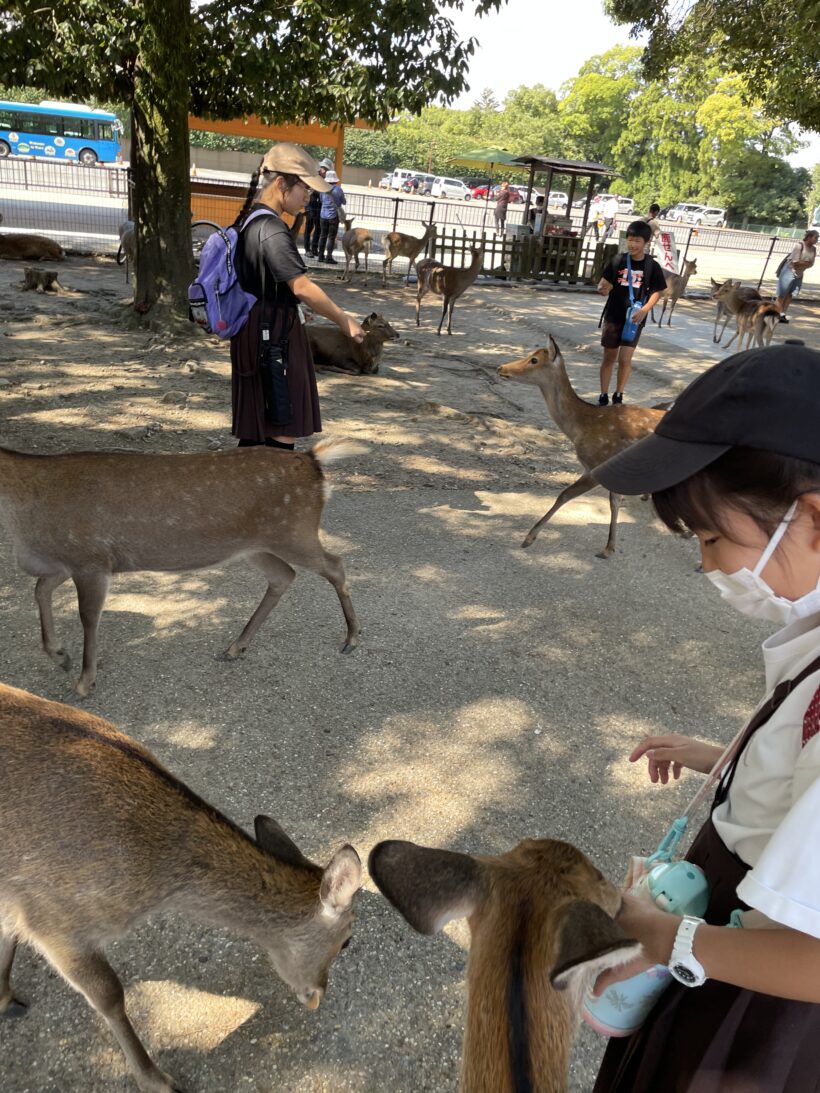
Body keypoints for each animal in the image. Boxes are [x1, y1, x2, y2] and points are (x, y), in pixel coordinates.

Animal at [0, 435, 362, 690]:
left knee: (335, 564)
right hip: (255, 546)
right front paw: (60, 656)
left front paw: (84, 680)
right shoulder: (63, 562)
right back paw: (235, 647)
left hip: (294, 532)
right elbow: (39, 590)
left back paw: (352, 639)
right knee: (284, 576)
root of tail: (314, 461)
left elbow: (88, 616)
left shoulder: (92, 558)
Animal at [0, 682, 360, 1093]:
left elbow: (7, 933)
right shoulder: (54, 921)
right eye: (347, 941)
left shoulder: (15, 897)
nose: (318, 995)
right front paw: (156, 1080)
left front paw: (3, 998)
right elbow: (110, 996)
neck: (155, 879)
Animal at [494, 336, 669, 559]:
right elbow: (614, 502)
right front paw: (609, 547)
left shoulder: (597, 465)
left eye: (534, 360)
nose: (501, 367)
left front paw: (529, 538)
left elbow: (565, 494)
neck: (581, 427)